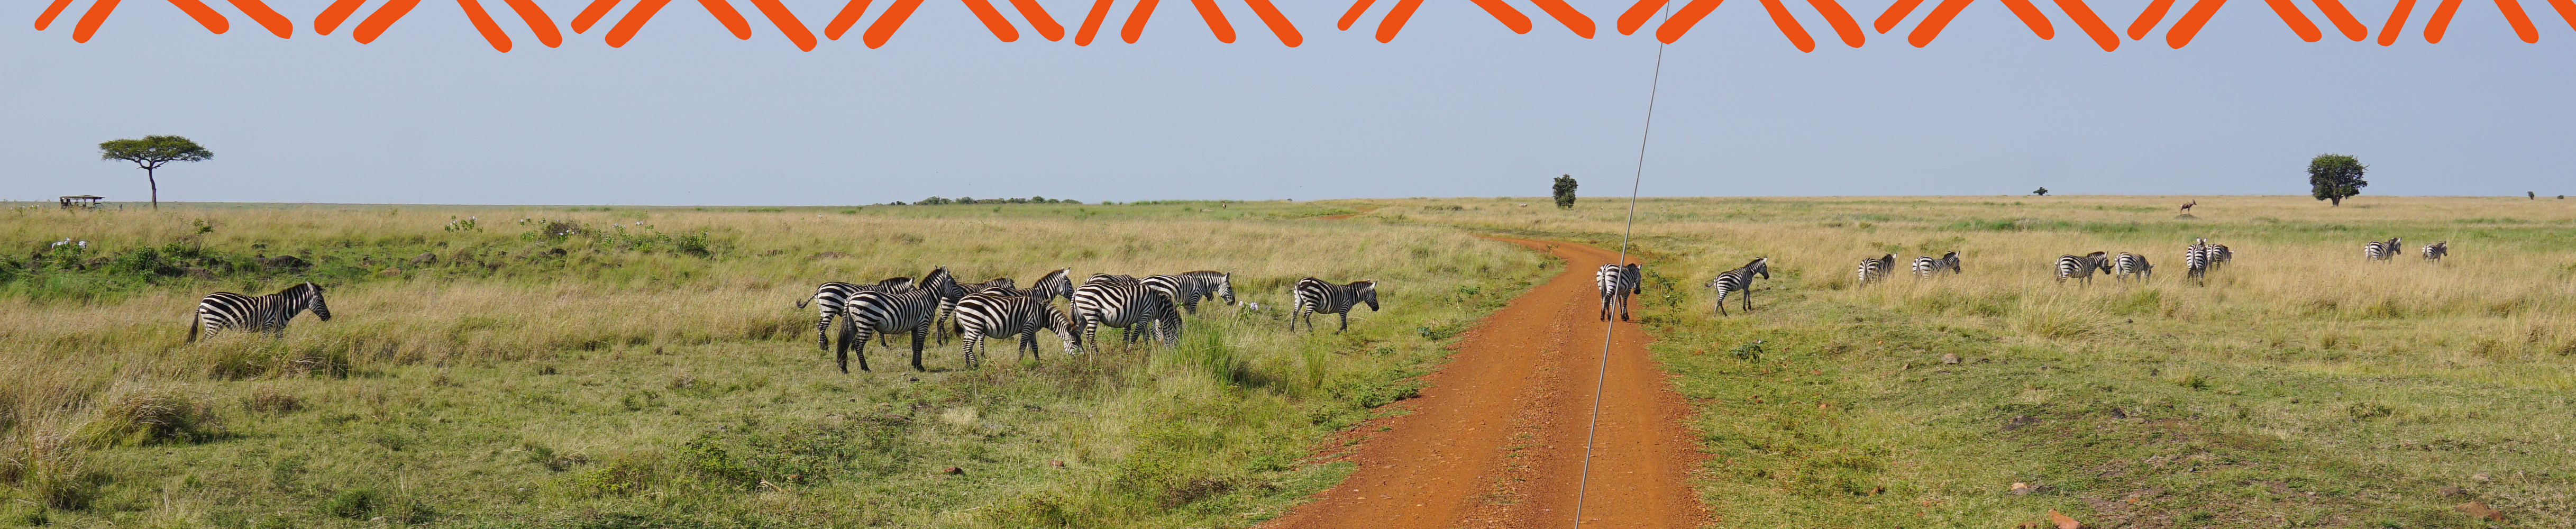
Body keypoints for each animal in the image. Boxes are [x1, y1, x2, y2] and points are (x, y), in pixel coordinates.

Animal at [188, 282, 332, 341]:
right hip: (214, 322)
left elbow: (279, 344)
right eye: (321, 300)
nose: (329, 317)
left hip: (209, 323)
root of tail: (203, 300)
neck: (283, 308)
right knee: (203, 340)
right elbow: (263, 343)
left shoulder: (279, 330)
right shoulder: (267, 326)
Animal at [832, 286, 942, 372]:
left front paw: (914, 365)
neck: (928, 298)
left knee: (845, 342)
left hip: (852, 322)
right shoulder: (923, 324)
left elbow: (914, 346)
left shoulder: (915, 327)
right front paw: (920, 367)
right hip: (866, 322)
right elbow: (920, 346)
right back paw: (865, 368)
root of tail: (850, 297)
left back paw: (844, 368)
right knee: (858, 344)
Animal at [951, 290, 1080, 368]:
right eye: (1074, 343)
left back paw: (967, 365)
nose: (1082, 358)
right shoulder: (1028, 327)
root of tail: (959, 303)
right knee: (968, 347)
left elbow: (1035, 347)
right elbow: (1022, 346)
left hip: (968, 328)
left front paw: (1039, 363)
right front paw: (1020, 362)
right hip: (975, 325)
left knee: (964, 346)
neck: (1042, 314)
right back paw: (976, 364)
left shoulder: (1033, 330)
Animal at [1073, 274, 1181, 350]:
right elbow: (1135, 335)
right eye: (1176, 337)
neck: (1158, 304)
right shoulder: (1145, 315)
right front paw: (1128, 351)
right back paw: (1095, 357)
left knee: (1077, 335)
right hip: (1092, 313)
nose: (1174, 351)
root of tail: (1078, 289)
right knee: (1090, 337)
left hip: (1082, 317)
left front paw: (1146, 349)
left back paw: (1080, 356)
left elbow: (1145, 334)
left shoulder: (1142, 317)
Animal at [1291, 277, 1380, 334]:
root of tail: (1300, 282)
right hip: (1312, 300)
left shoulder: (1344, 311)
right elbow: (1344, 324)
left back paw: (1292, 330)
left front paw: (1346, 335)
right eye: (1375, 295)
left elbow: (1345, 324)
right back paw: (1311, 331)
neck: (1352, 295)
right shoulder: (1344, 309)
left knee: (1294, 313)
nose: (1377, 309)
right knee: (1306, 316)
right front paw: (1337, 333)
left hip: (1299, 300)